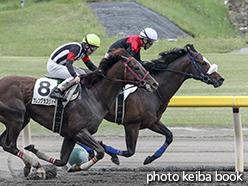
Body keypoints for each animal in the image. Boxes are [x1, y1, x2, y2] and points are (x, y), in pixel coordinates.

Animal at [0, 48, 159, 179]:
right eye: (136, 67)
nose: (154, 84)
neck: (94, 95)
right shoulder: (79, 131)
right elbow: (100, 151)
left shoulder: (70, 135)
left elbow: (61, 160)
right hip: (16, 118)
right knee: (9, 145)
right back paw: (38, 167)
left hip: (21, 119)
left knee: (4, 142)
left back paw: (31, 166)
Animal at [95, 44, 225, 165]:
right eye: (203, 63)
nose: (220, 79)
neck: (155, 92)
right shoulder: (131, 124)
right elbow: (129, 152)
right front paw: (108, 151)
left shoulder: (152, 122)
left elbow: (169, 136)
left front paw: (150, 158)